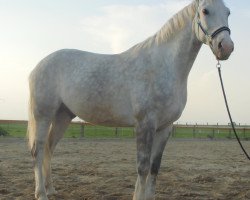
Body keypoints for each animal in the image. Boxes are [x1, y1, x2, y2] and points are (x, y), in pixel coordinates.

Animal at [28, 0, 233, 200]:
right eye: (205, 11)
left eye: (228, 12)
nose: (226, 47)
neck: (163, 65)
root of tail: (39, 66)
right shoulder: (145, 124)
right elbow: (142, 167)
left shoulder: (165, 127)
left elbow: (154, 167)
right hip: (44, 115)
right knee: (38, 150)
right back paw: (41, 194)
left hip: (63, 116)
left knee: (49, 148)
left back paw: (51, 189)